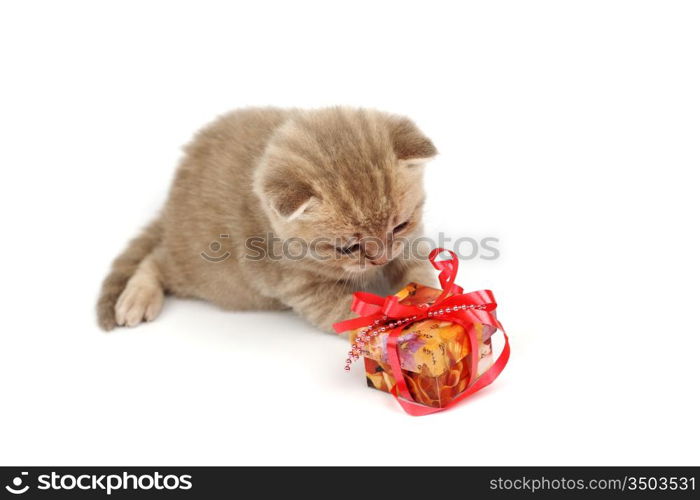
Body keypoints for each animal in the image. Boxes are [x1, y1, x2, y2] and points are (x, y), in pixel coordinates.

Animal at [97, 106, 438, 332]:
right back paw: (137, 298)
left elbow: (417, 271)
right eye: (347, 248)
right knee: (156, 259)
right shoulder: (303, 289)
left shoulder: (409, 242)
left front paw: (429, 304)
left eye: (400, 226)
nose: (380, 259)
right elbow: (347, 314)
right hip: (201, 272)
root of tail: (170, 204)